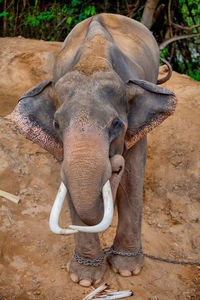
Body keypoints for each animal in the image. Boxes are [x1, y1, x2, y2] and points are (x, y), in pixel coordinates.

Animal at [7, 13, 177, 286]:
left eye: (116, 124)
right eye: (56, 124)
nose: (115, 165)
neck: (93, 59)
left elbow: (133, 177)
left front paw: (128, 270)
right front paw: (85, 280)